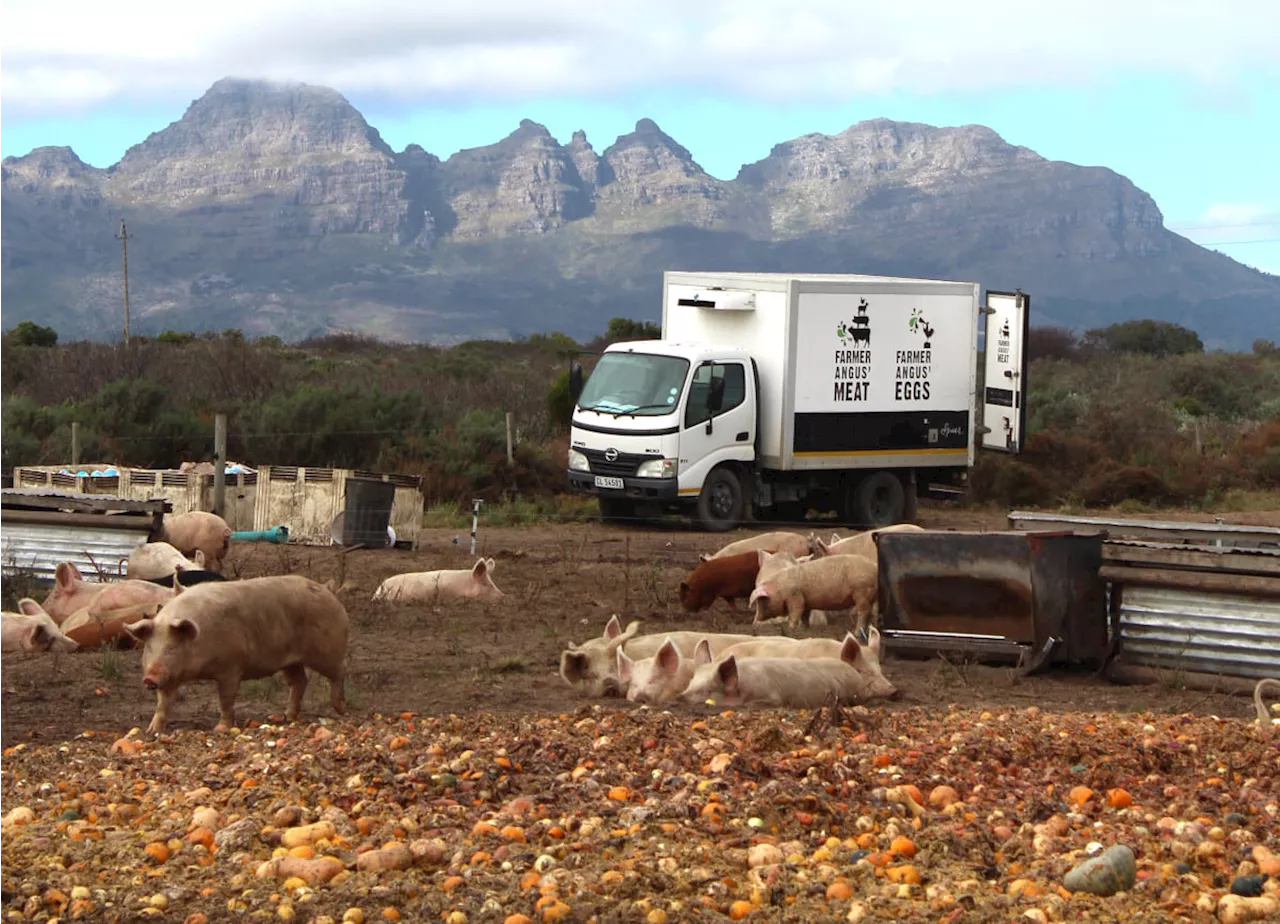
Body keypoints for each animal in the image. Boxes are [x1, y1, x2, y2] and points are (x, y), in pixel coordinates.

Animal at [123, 573, 350, 732]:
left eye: (172, 647)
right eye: (149, 647)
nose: (149, 679)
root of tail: (329, 592)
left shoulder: (231, 667)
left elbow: (225, 698)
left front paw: (221, 728)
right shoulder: (170, 677)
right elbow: (163, 702)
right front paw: (152, 731)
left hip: (326, 651)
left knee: (339, 671)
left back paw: (341, 709)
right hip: (290, 660)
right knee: (300, 681)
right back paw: (287, 717)